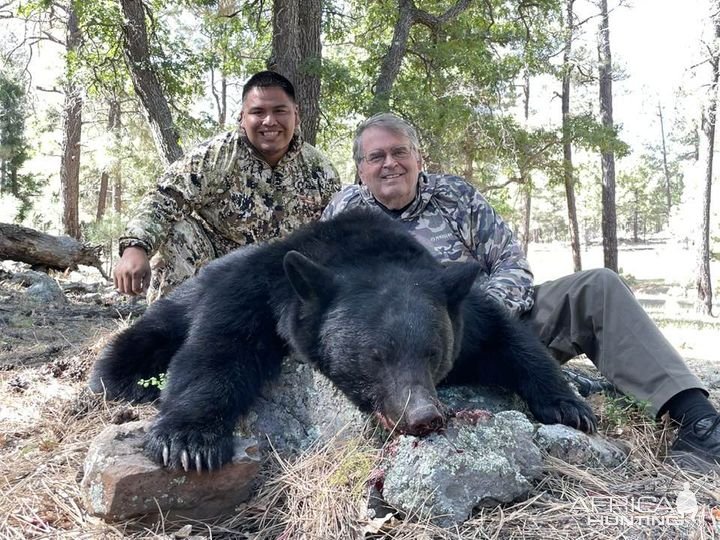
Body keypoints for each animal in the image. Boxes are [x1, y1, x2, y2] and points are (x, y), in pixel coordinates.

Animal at [91, 209, 596, 470]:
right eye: (376, 356)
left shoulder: (463, 312)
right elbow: (216, 351)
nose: (424, 416)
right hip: (185, 296)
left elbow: (509, 340)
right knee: (147, 337)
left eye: (433, 354)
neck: (359, 250)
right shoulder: (254, 294)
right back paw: (121, 382)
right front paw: (189, 441)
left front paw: (569, 405)